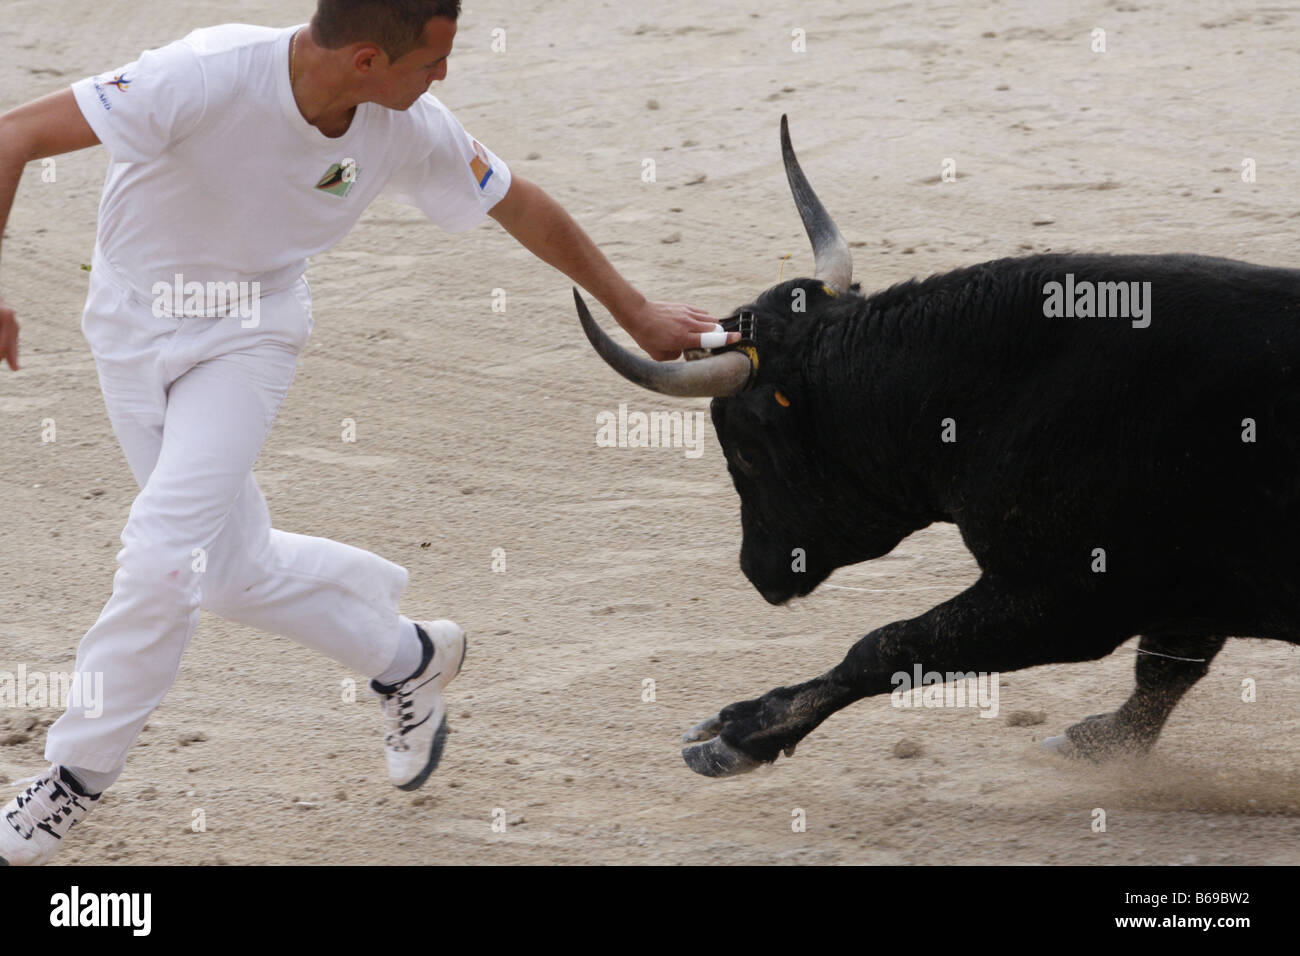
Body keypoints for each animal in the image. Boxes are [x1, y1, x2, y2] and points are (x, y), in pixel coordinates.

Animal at [572, 117, 1300, 780]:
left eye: (747, 453)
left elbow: (889, 646)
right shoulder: (1186, 589)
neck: (996, 386)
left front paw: (740, 732)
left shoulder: (1069, 598)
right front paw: (1099, 742)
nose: (756, 572)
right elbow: (1166, 670)